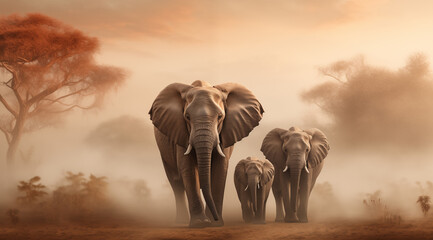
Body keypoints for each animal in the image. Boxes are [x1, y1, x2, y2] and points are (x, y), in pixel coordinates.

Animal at [148, 80, 264, 227]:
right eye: (187, 117)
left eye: (220, 117)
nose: (215, 218)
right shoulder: (181, 133)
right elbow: (189, 169)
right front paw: (200, 223)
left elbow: (220, 169)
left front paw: (215, 224)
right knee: (176, 182)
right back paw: (181, 222)